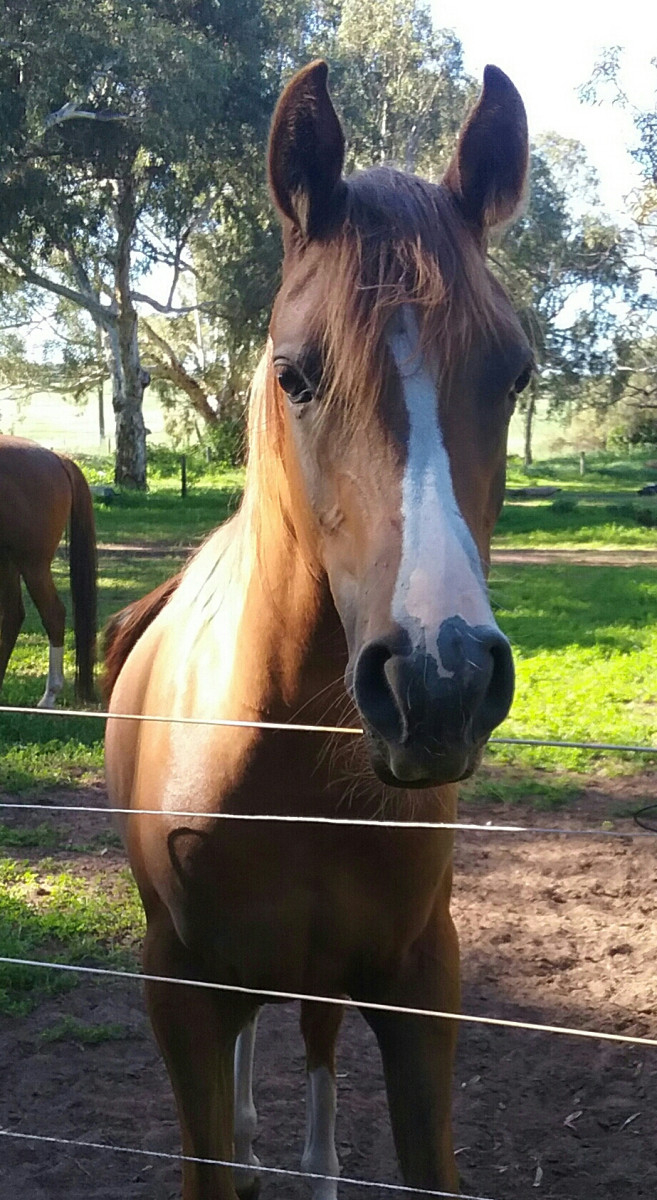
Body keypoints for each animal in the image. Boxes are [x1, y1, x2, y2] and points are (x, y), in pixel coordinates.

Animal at [0, 435, 97, 705]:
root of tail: (56, 458)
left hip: (32, 565)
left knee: (53, 615)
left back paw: (49, 697)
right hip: (10, 563)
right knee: (12, 616)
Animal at [104, 61, 533, 1200]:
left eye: (515, 374)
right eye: (297, 373)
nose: (440, 682)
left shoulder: (420, 984)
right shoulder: (179, 992)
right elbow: (208, 1154)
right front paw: (240, 1153)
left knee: (314, 1041)